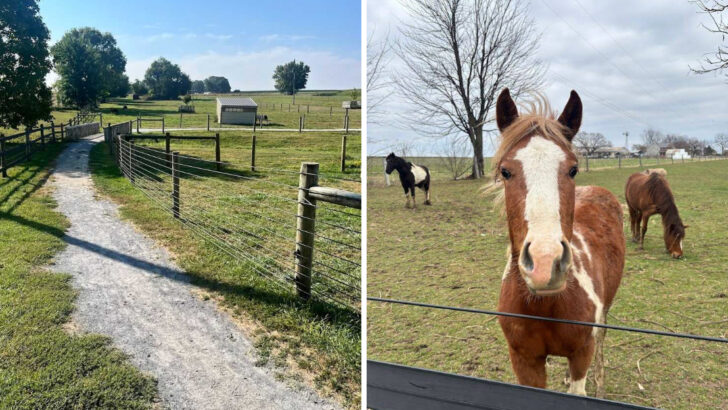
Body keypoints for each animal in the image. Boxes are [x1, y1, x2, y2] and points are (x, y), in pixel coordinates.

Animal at [491, 88, 625, 397]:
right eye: (505, 171)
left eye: (573, 169)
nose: (545, 263)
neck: (546, 307)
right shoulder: (524, 362)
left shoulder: (582, 353)